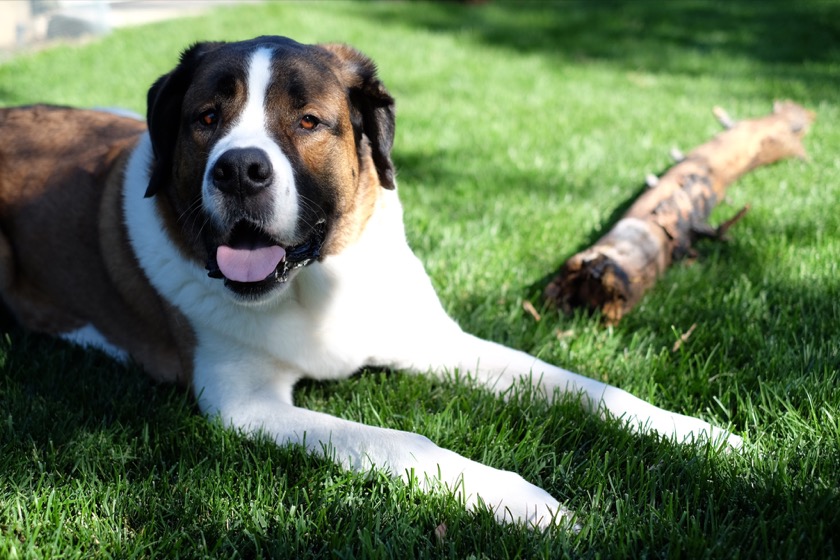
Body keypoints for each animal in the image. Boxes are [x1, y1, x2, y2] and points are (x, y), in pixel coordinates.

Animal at [0, 36, 740, 528]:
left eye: (308, 122)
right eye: (206, 119)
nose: (238, 169)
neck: (318, 281)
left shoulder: (437, 340)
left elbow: (580, 385)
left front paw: (701, 434)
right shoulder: (246, 403)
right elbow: (401, 440)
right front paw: (526, 501)